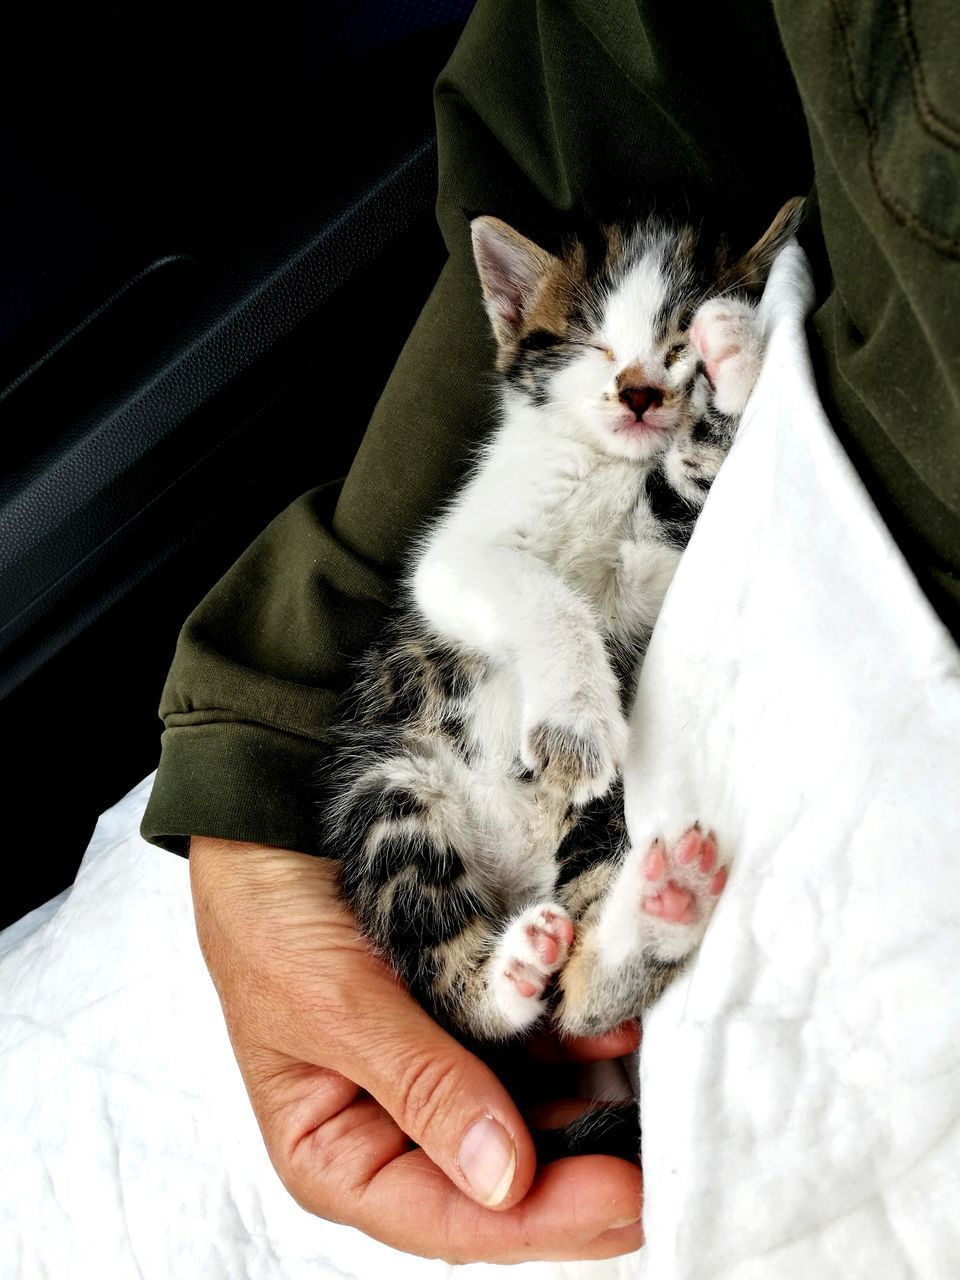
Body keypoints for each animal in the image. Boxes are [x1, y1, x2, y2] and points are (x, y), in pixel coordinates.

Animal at [325, 197, 803, 1039]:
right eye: (593, 341)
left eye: (674, 343)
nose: (640, 392)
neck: (603, 466)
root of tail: (523, 869)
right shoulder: (455, 558)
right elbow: (541, 593)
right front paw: (575, 721)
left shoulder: (646, 569)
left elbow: (684, 492)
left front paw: (734, 359)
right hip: (390, 789)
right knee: (458, 970)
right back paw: (509, 975)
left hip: (605, 818)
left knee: (578, 997)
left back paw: (659, 909)